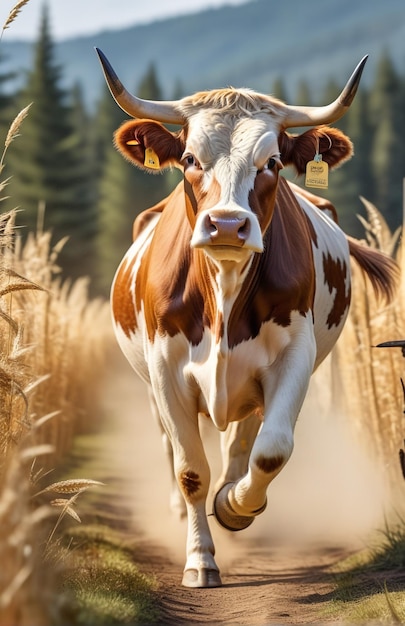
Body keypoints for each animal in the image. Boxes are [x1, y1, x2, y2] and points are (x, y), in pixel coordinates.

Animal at [96, 47, 396, 584]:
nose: (227, 225)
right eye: (190, 159)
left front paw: (235, 506)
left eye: (272, 162)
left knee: (241, 443)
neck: (225, 287)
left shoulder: (293, 359)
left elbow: (271, 450)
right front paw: (200, 559)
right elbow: (190, 469)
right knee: (174, 447)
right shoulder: (164, 369)